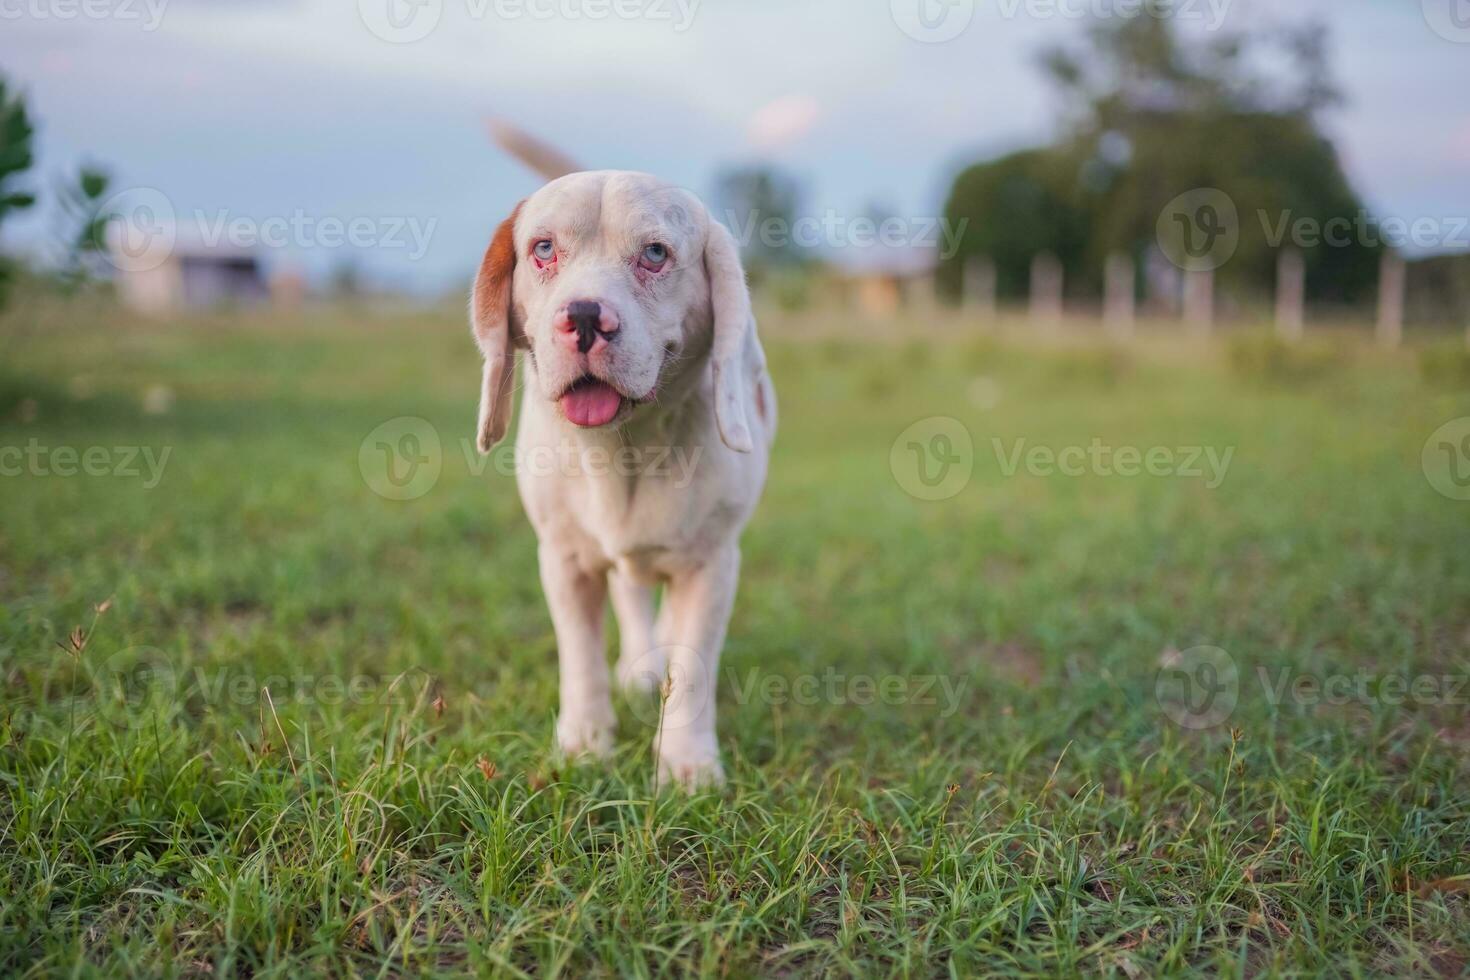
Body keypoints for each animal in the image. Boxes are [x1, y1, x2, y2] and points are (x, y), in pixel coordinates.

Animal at [470, 166, 776, 781]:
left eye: (655, 253)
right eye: (543, 249)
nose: (585, 316)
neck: (624, 452)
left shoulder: (712, 566)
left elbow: (694, 670)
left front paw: (687, 767)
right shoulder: (564, 561)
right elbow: (581, 660)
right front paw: (585, 745)